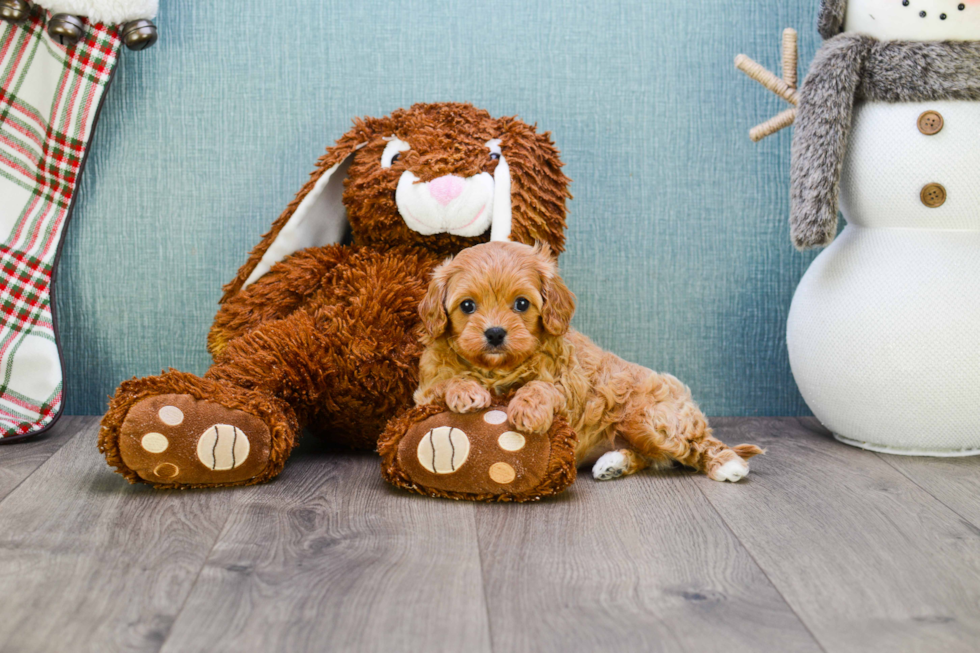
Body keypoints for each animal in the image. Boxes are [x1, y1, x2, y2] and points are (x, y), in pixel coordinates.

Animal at [414, 239, 764, 478]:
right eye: (467, 306)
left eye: (522, 304)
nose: (495, 333)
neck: (498, 368)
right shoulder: (423, 391)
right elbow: (444, 382)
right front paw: (465, 390)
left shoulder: (570, 386)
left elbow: (542, 387)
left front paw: (527, 408)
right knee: (648, 457)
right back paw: (613, 464)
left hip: (649, 419)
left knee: (697, 444)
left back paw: (728, 465)